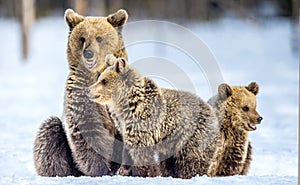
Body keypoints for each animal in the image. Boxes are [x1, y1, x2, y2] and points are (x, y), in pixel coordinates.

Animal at [33, 8, 127, 176]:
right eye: (82, 38)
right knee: (50, 133)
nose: (88, 53)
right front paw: (101, 169)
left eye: (99, 38)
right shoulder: (80, 95)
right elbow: (89, 132)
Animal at [85, 54, 219, 178]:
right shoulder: (125, 126)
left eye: (104, 80)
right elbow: (127, 148)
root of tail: (212, 111)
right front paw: (122, 170)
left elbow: (140, 152)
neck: (125, 106)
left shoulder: (143, 123)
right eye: (100, 78)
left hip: (192, 136)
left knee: (190, 161)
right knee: (169, 162)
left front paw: (141, 173)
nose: (88, 89)